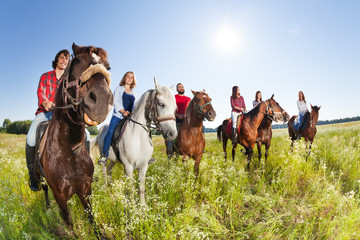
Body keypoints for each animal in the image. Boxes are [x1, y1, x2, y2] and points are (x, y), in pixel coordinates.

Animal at [36, 42, 112, 234]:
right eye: (76, 60)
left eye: (108, 68)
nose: (101, 100)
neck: (68, 151)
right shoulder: (60, 196)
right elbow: (69, 225)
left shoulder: (85, 190)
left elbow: (91, 218)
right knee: (44, 188)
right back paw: (47, 209)